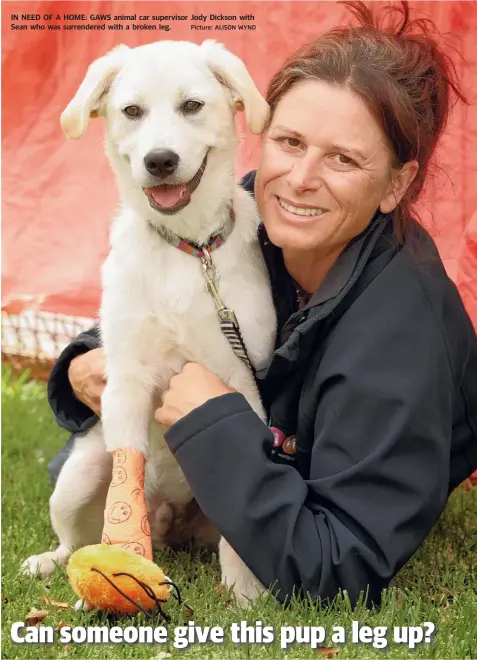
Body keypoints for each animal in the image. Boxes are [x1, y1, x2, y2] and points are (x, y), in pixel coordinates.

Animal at [22, 37, 276, 604]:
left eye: (192, 105)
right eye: (132, 111)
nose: (160, 161)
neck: (187, 249)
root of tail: (169, 515)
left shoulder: (240, 380)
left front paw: (245, 588)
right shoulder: (127, 384)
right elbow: (127, 479)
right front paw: (123, 566)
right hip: (78, 474)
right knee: (75, 539)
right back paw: (50, 561)